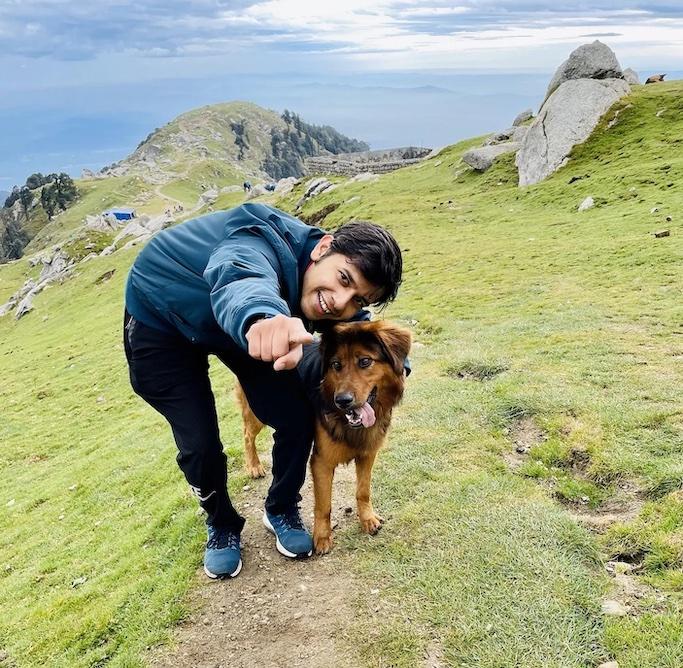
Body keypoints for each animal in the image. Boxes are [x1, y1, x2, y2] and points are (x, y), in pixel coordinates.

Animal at [239, 320, 412, 556]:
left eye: (365, 361)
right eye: (336, 365)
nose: (342, 401)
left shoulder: (367, 453)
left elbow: (363, 491)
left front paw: (367, 519)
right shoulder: (321, 462)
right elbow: (323, 505)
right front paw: (321, 537)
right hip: (259, 411)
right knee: (248, 435)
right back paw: (254, 466)